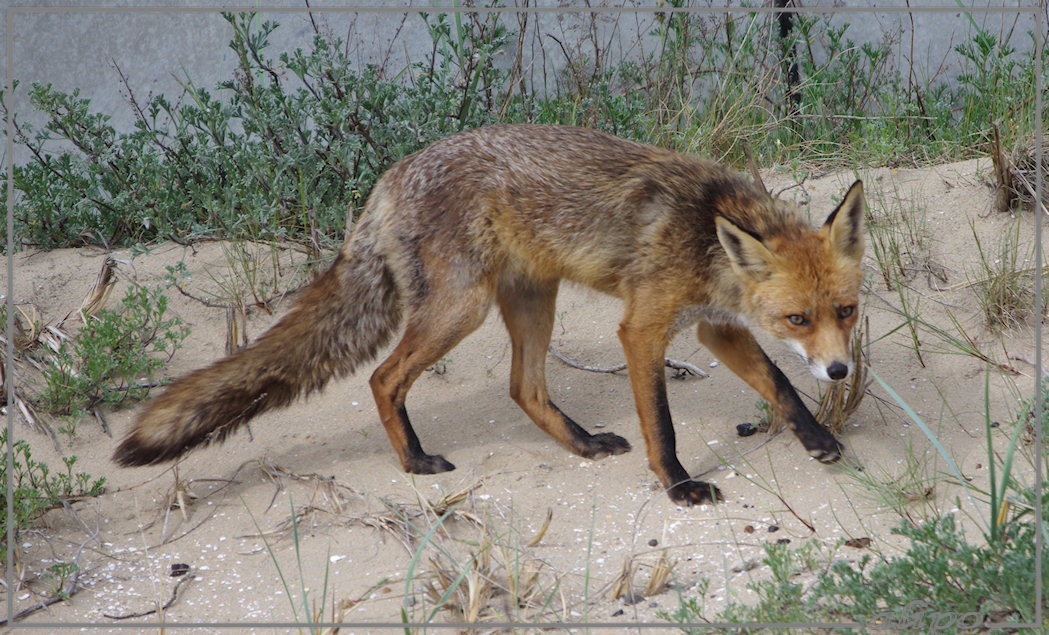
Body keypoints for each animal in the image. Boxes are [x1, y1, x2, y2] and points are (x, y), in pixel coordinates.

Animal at [116, 123, 868, 501]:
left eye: (846, 310)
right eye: (797, 319)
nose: (839, 371)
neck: (706, 232)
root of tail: (388, 178)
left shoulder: (713, 325)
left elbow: (778, 385)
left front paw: (816, 438)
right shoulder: (643, 327)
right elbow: (661, 423)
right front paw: (679, 485)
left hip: (532, 301)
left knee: (522, 387)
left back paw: (582, 444)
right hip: (462, 309)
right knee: (383, 378)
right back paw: (415, 461)